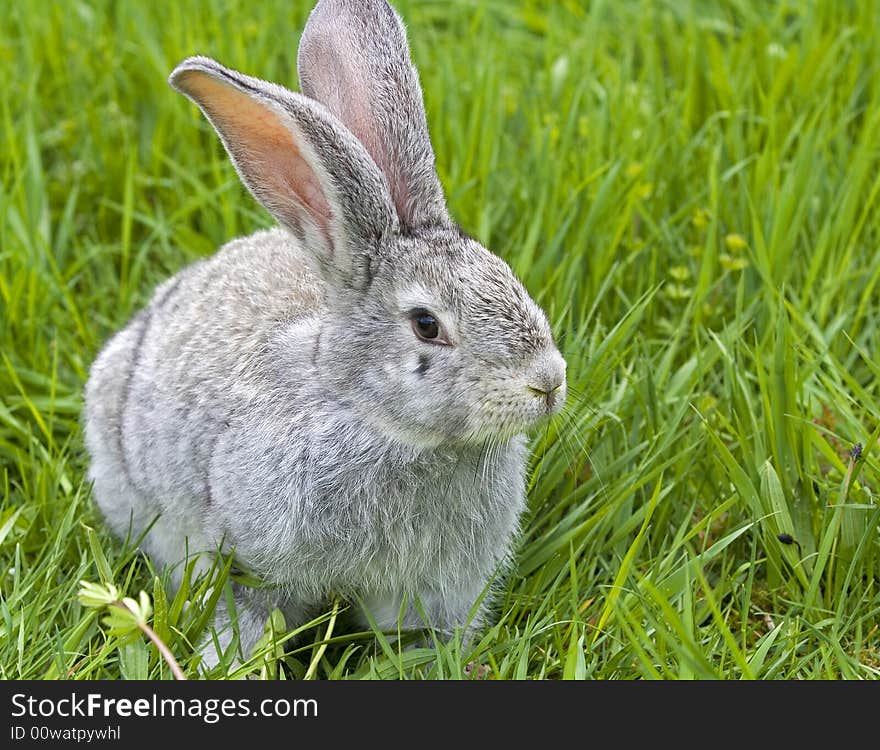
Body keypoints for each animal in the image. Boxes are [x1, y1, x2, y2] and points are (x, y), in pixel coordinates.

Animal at [81, 0, 564, 668]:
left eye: (508, 274)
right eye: (426, 325)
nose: (548, 382)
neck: (378, 420)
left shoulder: (437, 587)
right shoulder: (251, 560)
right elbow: (245, 615)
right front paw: (226, 665)